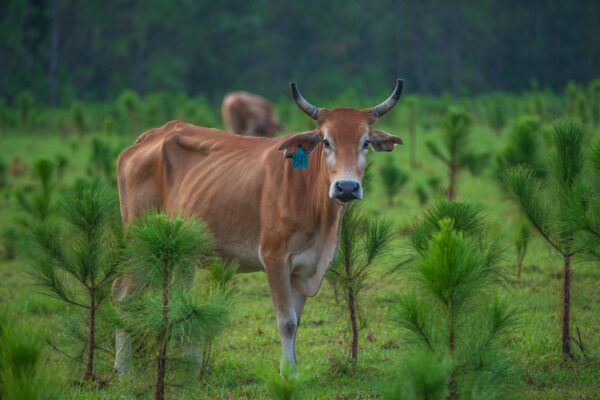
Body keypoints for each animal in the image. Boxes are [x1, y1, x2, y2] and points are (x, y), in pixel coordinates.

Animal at [112, 79, 404, 374]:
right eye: (326, 141)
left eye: (365, 142)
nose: (346, 187)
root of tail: (152, 135)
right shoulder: (275, 258)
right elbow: (287, 322)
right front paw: (288, 373)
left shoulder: (304, 269)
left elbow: (297, 322)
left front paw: (293, 371)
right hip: (139, 240)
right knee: (123, 294)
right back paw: (124, 368)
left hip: (184, 251)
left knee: (178, 298)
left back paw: (191, 367)